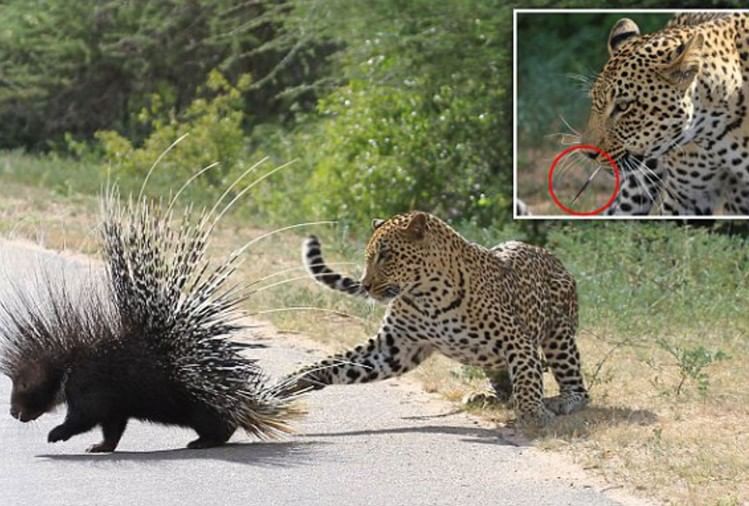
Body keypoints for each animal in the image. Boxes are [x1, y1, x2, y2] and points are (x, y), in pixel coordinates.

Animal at [281, 211, 589, 426]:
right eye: (369, 256)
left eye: (386, 256)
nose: (365, 285)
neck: (426, 295)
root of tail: (552, 256)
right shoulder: (394, 347)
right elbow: (338, 362)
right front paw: (295, 379)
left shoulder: (517, 341)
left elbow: (527, 377)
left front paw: (533, 414)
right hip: (494, 360)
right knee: (504, 382)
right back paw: (486, 397)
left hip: (559, 335)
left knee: (578, 386)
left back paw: (565, 400)